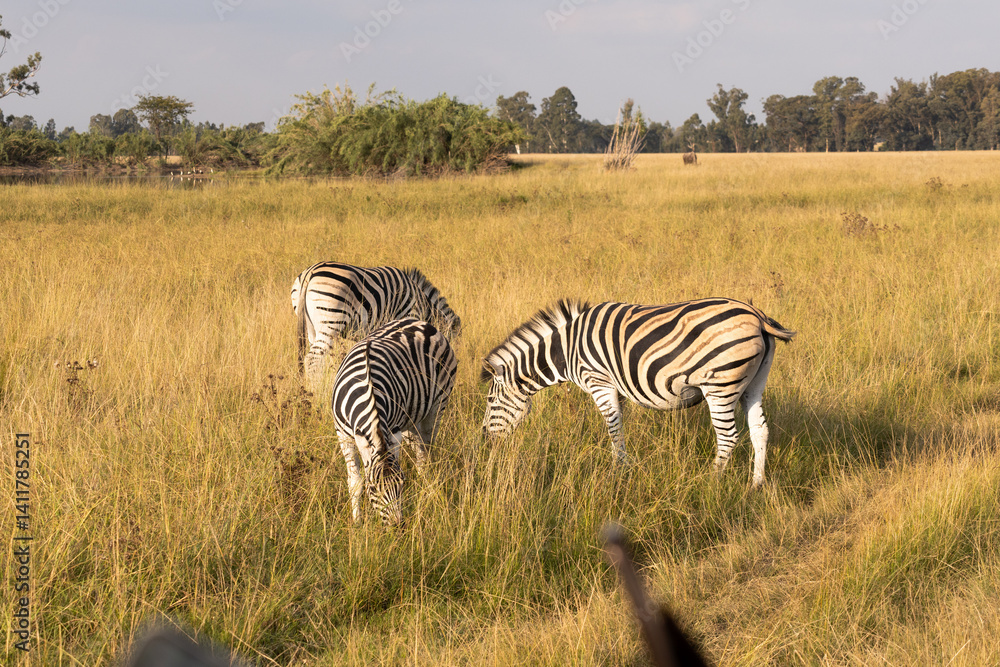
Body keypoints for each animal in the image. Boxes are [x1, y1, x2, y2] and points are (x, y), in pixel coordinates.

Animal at [291, 262, 461, 381]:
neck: (422, 303)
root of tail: (309, 273)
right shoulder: (406, 319)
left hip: (312, 327)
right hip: (331, 321)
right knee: (313, 359)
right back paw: (318, 394)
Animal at [331, 318, 458, 525]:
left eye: (402, 482)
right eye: (373, 488)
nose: (398, 526)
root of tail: (421, 322)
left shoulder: (391, 430)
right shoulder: (343, 435)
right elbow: (355, 482)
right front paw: (357, 523)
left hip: (437, 406)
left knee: (425, 455)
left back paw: (427, 490)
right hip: (410, 419)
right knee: (418, 450)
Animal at [481, 298, 794, 488]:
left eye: (490, 400)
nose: (485, 439)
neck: (566, 351)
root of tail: (757, 316)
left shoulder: (599, 382)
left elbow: (613, 428)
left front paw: (617, 472)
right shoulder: (617, 388)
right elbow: (619, 428)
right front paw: (623, 467)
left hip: (719, 385)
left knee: (728, 438)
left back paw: (710, 482)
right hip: (754, 384)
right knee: (760, 430)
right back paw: (756, 484)